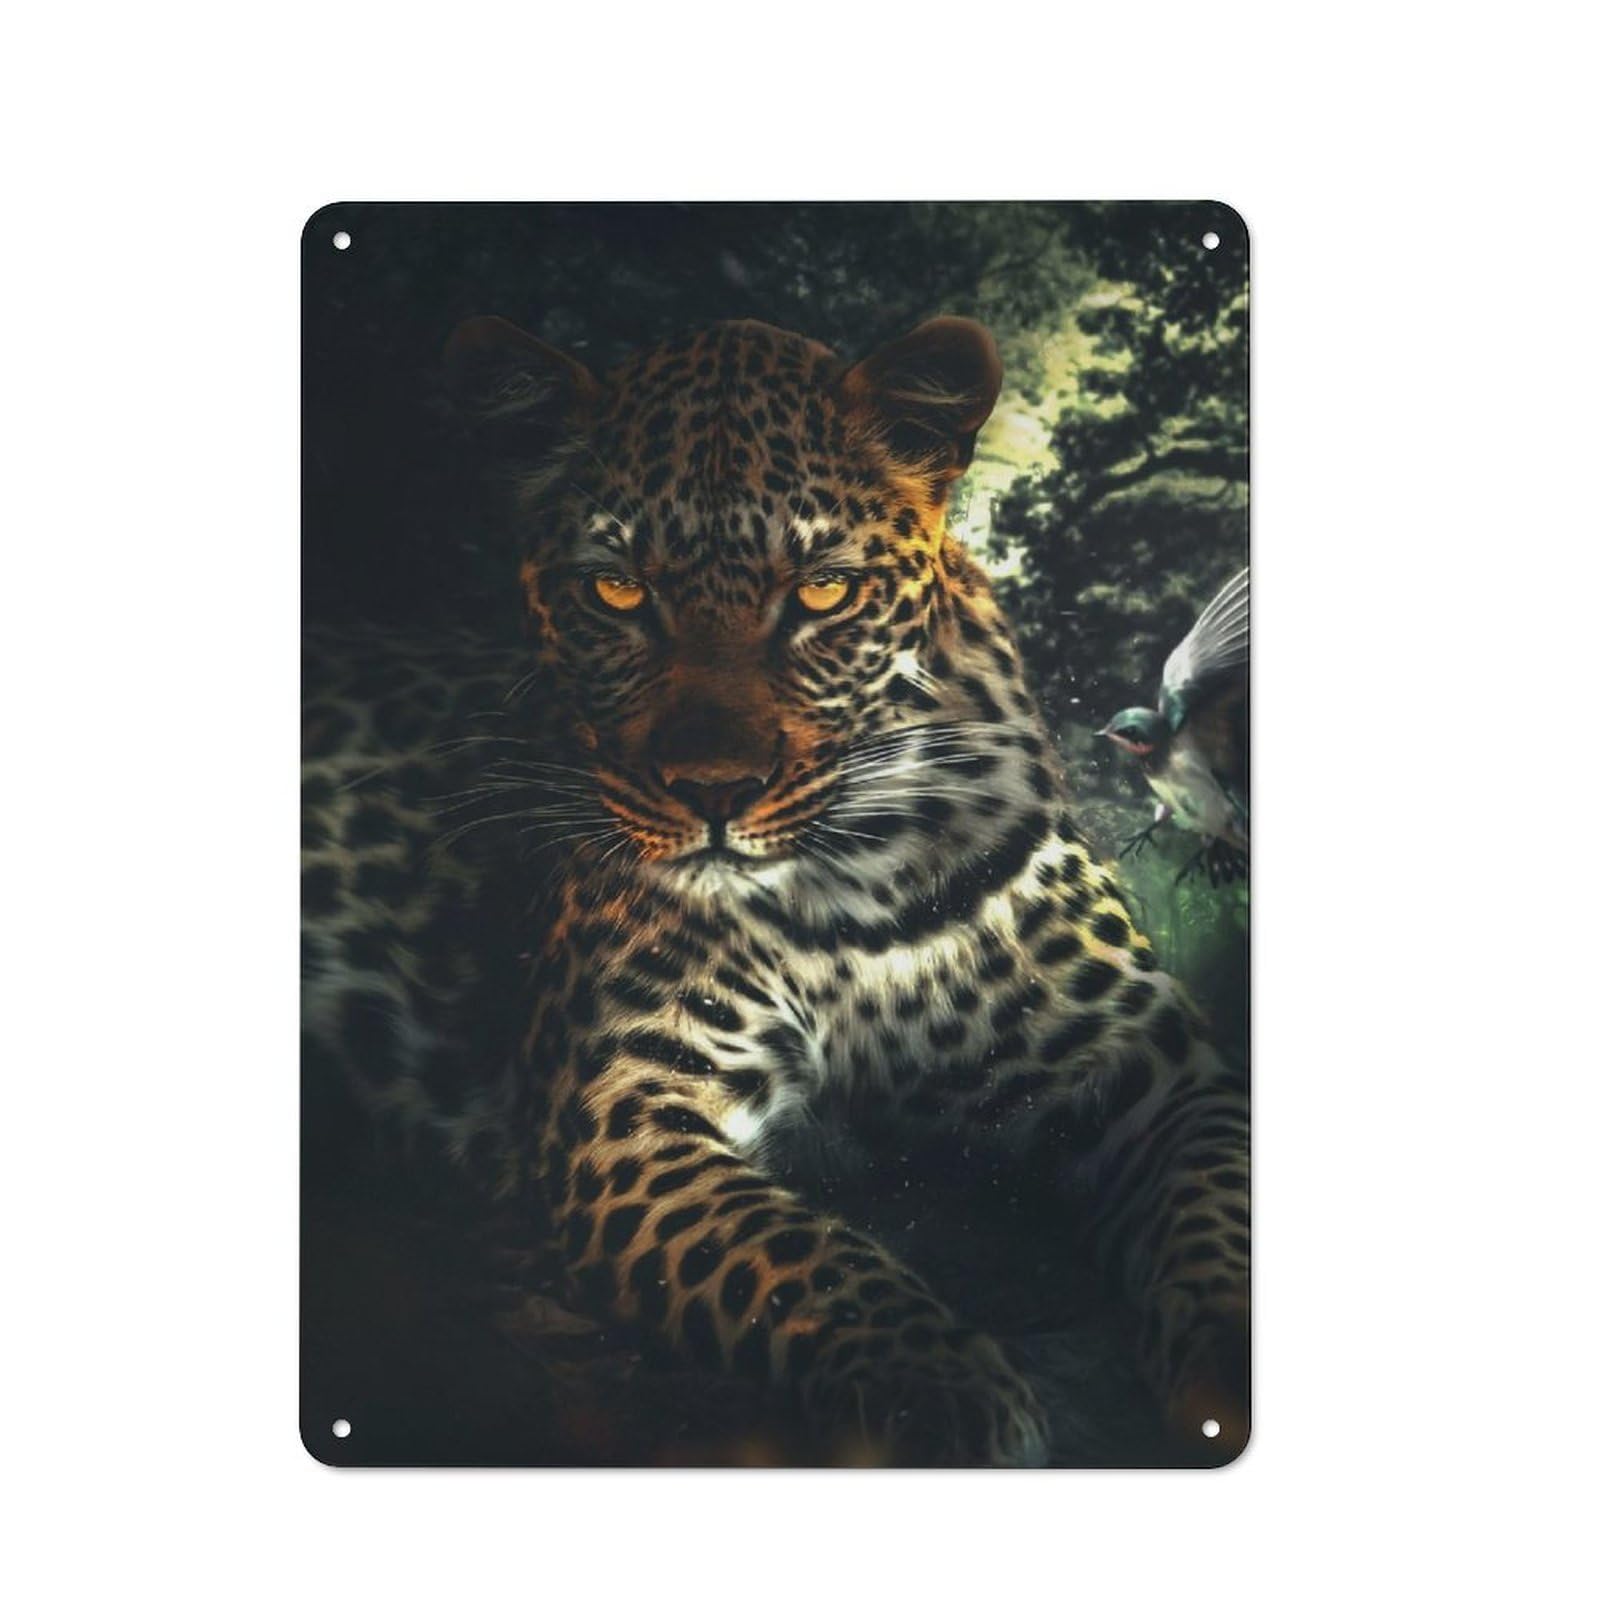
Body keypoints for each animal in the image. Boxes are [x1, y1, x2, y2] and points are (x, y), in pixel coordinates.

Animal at [300, 313, 1250, 1466]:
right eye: (617, 591)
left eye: (823, 591)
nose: (715, 791)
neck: (857, 884)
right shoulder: (625, 1109)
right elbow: (798, 1260)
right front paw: (940, 1394)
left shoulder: (1158, 1068)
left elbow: (1221, 1212)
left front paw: (1229, 1368)